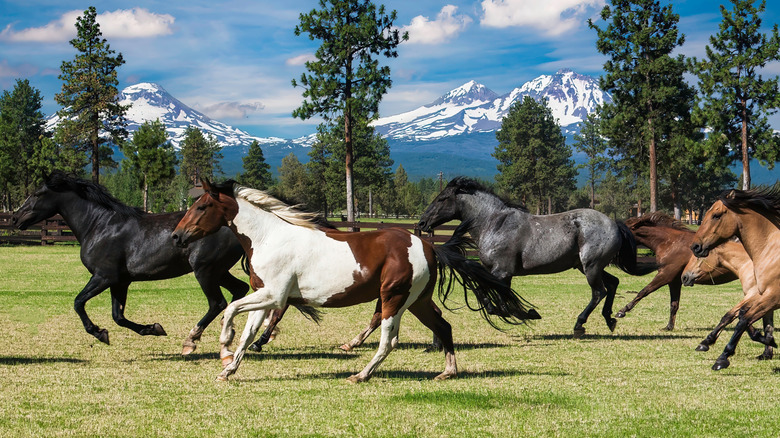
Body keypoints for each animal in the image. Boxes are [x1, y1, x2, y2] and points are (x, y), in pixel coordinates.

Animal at [10, 169, 253, 354]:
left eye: (37, 193)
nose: (15, 218)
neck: (99, 225)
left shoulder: (103, 277)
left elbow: (79, 302)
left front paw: (99, 333)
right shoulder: (120, 282)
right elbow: (118, 316)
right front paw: (154, 328)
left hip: (204, 270)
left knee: (217, 302)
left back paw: (191, 341)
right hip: (218, 271)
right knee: (239, 289)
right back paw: (227, 327)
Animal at [169, 180, 536, 382]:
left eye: (201, 206)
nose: (176, 236)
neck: (270, 237)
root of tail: (428, 245)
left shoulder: (274, 295)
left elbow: (231, 312)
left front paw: (223, 348)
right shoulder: (266, 296)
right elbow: (248, 332)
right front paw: (228, 369)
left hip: (393, 298)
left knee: (389, 339)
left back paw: (361, 374)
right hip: (416, 300)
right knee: (443, 326)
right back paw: (447, 371)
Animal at [418, 176, 656, 338]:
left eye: (442, 198)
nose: (421, 223)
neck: (494, 223)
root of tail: (613, 223)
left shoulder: (501, 271)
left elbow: (496, 297)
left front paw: (527, 313)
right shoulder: (495, 272)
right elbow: (486, 293)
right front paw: (518, 312)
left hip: (591, 266)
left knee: (599, 292)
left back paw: (579, 325)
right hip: (587, 266)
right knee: (613, 283)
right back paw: (610, 319)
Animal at [692, 185, 780, 370]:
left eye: (716, 215)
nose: (695, 246)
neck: (772, 251)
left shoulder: (773, 296)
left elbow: (743, 319)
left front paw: (723, 358)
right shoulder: (762, 294)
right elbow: (740, 315)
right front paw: (768, 340)